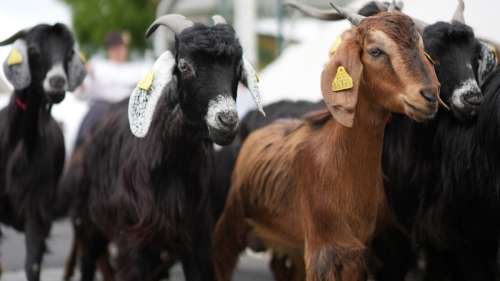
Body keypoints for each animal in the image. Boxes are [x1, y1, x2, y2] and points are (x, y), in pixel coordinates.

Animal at [57, 14, 262, 280]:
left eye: (237, 68)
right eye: (184, 65)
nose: (226, 120)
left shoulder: (197, 238)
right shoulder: (133, 240)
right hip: (87, 225)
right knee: (88, 263)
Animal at [213, 7, 440, 280]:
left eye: (420, 48)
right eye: (376, 51)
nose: (429, 96)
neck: (339, 165)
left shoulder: (356, 254)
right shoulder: (322, 251)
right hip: (231, 224)